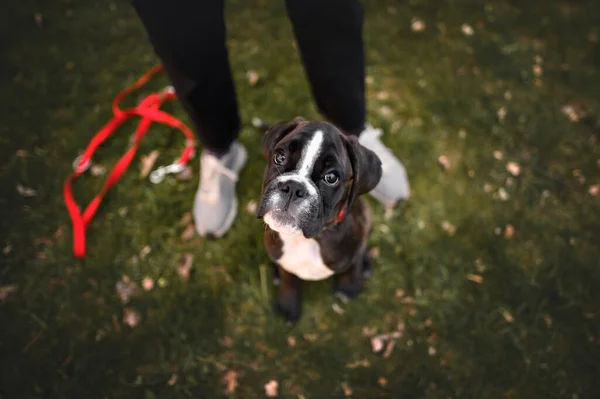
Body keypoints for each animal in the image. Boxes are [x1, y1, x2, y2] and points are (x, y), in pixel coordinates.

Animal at [255, 117, 382, 324]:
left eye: (331, 177)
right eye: (280, 157)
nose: (293, 187)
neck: (306, 240)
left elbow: (352, 266)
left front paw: (350, 287)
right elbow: (289, 280)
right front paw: (288, 305)